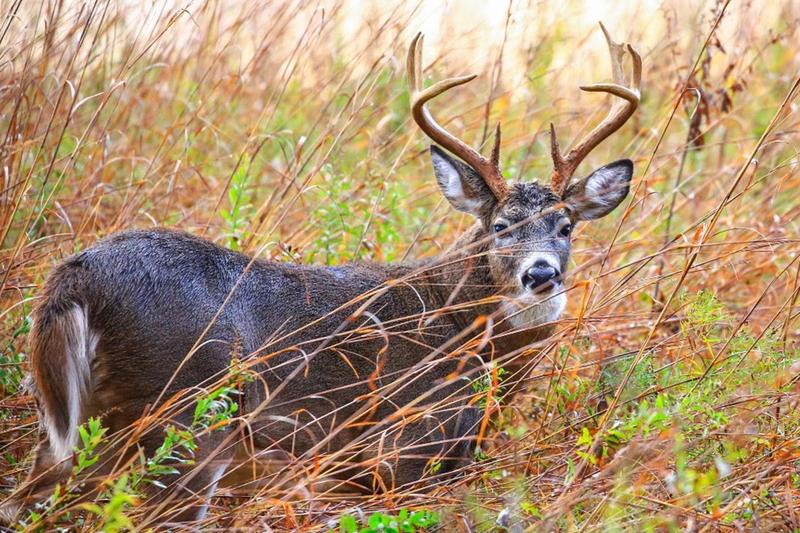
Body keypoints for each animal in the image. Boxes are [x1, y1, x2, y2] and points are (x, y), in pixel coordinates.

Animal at [1, 24, 641, 528]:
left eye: (566, 226)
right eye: (502, 225)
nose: (541, 274)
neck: (464, 330)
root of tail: (75, 278)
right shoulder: (402, 449)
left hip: (72, 421)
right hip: (183, 411)